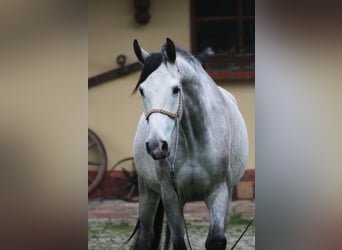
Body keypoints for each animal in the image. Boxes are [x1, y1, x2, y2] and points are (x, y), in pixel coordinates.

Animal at [131, 38, 248, 249]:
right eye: (142, 90)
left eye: (176, 89)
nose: (157, 146)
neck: (195, 140)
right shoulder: (171, 195)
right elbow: (178, 242)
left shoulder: (219, 192)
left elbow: (216, 240)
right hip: (148, 192)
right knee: (146, 236)